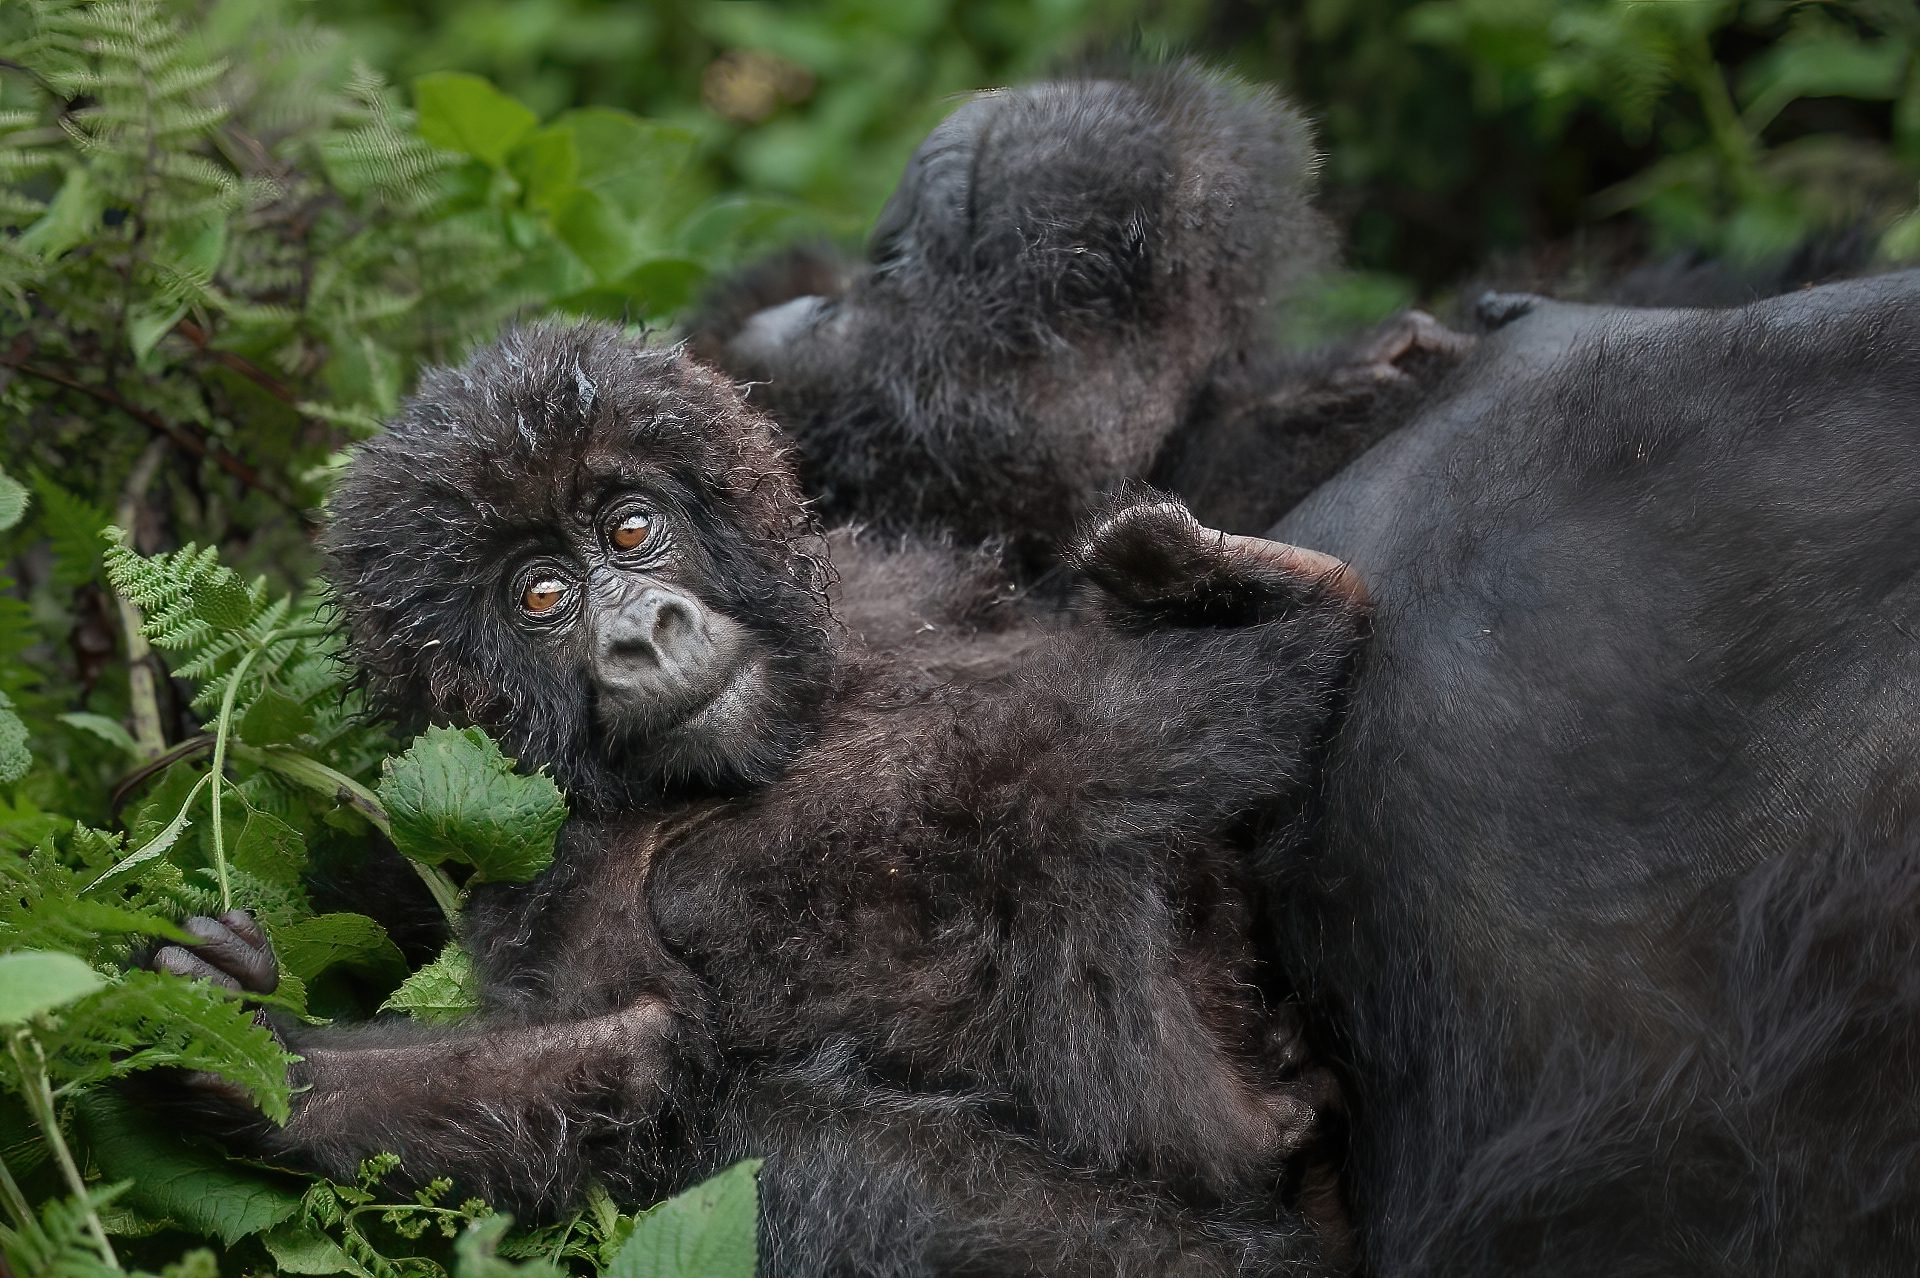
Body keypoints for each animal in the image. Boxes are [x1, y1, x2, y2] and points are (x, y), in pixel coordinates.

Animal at [144, 321, 1370, 1277]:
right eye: (541, 596)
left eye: (631, 528)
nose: (644, 631)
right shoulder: (558, 881)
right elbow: (629, 1065)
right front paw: (258, 1065)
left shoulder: (885, 586)